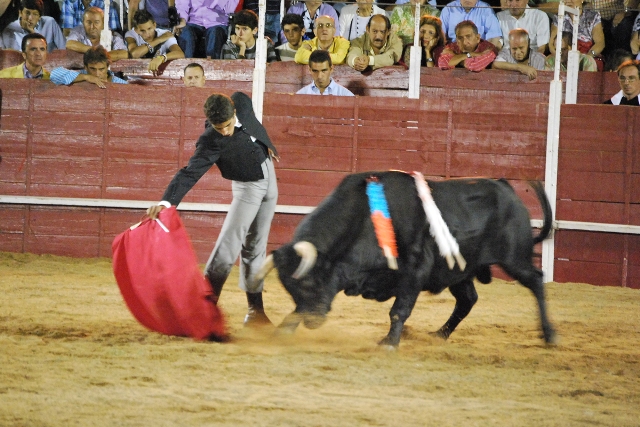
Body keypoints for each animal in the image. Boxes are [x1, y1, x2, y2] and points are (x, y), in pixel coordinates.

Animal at [258, 171, 556, 348]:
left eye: (309, 283)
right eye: (290, 289)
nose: (313, 321)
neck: (364, 219)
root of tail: (505, 187)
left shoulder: (414, 272)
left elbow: (398, 310)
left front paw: (389, 342)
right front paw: (283, 330)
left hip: (514, 258)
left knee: (536, 281)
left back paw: (549, 335)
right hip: (459, 270)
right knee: (467, 299)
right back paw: (440, 334)